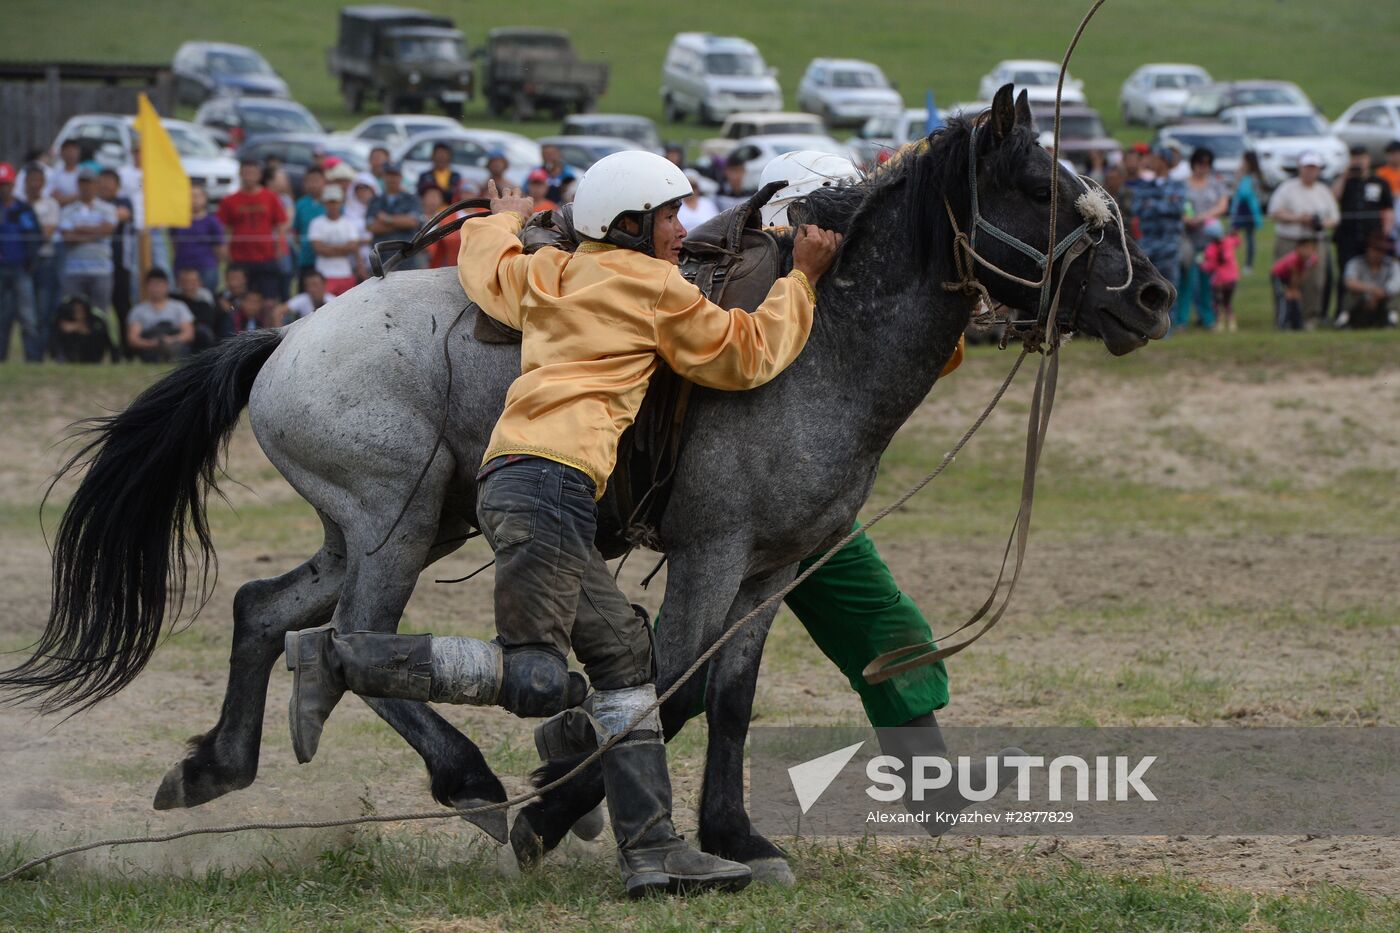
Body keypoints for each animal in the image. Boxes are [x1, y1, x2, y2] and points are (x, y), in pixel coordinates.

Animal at [2, 88, 1170, 879]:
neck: (817, 342)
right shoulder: (709, 553)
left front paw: (734, 832)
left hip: (391, 527)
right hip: (391, 525)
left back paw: (216, 766)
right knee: (349, 647)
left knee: (265, 611)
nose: (1153, 294)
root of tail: (286, 335)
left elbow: (729, 697)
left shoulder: (775, 569)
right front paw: (558, 804)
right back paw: (471, 782)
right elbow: (676, 686)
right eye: (1040, 187)